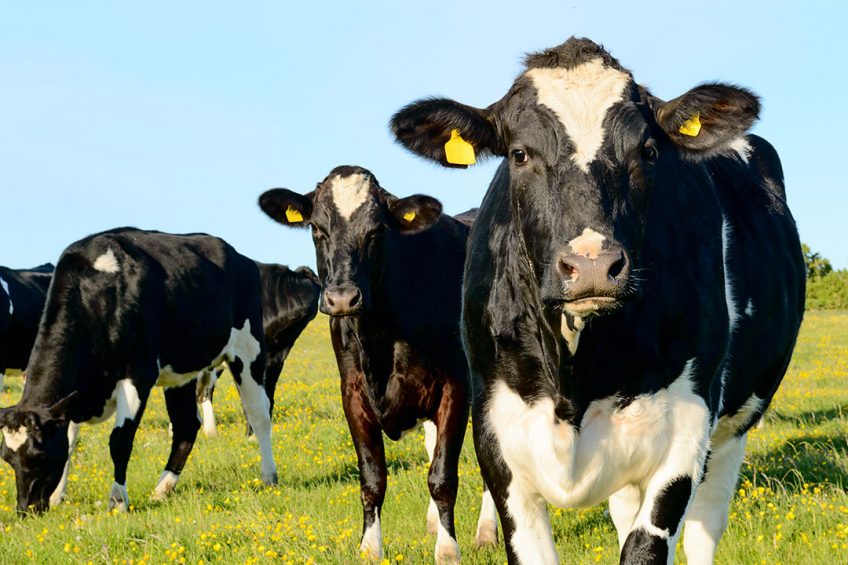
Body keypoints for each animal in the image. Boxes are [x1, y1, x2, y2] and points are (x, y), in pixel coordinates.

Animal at [258, 165, 496, 560]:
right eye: (317, 229)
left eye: (376, 231)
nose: (341, 298)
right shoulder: (352, 393)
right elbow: (372, 478)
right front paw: (370, 548)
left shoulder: (456, 386)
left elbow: (443, 475)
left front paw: (448, 550)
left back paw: (487, 530)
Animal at [390, 36, 800, 564]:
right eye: (519, 154)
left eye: (648, 151)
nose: (591, 266)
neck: (575, 378)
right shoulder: (496, 433)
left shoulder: (689, 425)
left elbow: (645, 546)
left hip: (732, 431)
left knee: (705, 528)